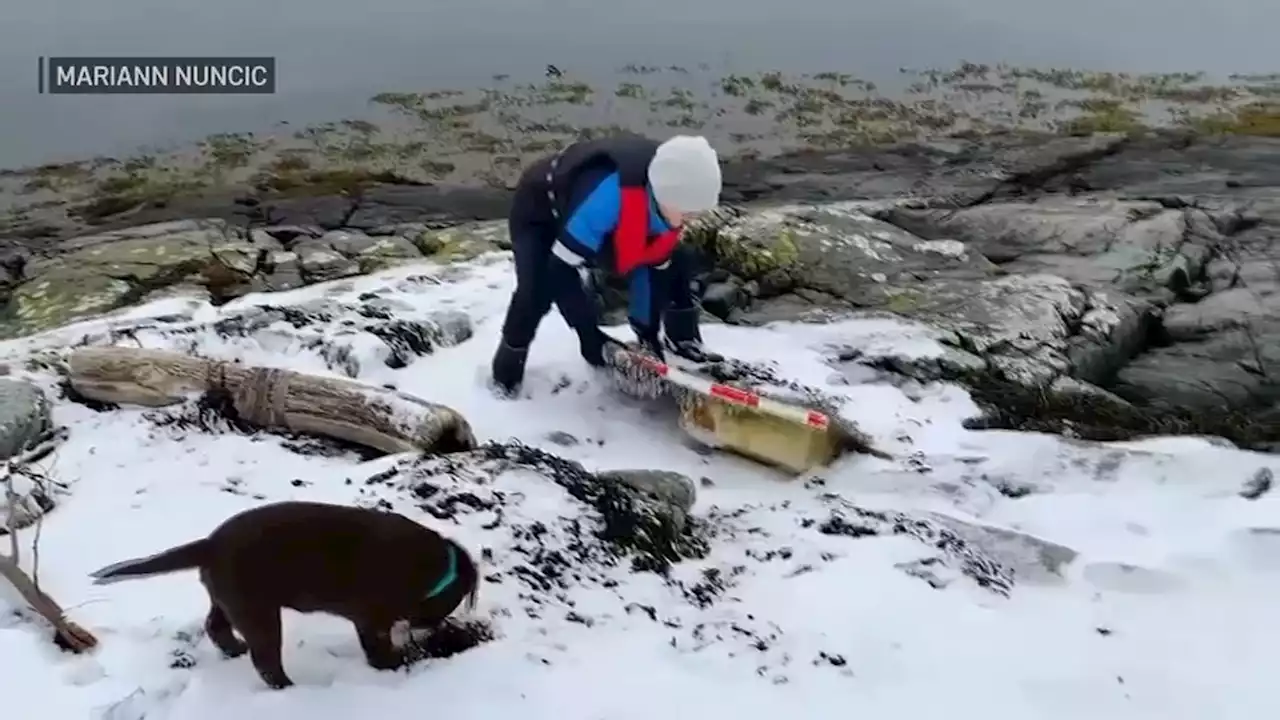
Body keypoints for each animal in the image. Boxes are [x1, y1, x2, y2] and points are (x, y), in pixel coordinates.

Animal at [87, 499, 481, 681]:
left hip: (229, 600)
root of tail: (210, 544)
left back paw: (234, 650)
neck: (430, 567)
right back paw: (287, 686)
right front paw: (394, 663)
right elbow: (377, 648)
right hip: (258, 612)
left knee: (216, 625)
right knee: (266, 661)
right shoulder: (372, 617)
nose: (434, 628)